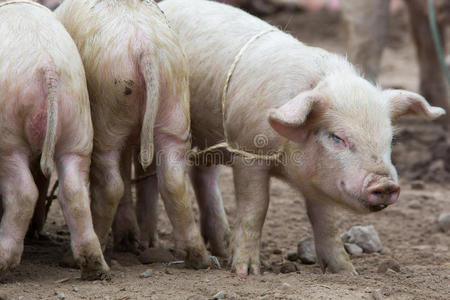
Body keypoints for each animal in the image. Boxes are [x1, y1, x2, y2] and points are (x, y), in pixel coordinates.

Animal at [0, 1, 108, 280]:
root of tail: (47, 67)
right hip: (79, 127)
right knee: (74, 191)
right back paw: (95, 268)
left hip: (8, 138)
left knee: (24, 192)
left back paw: (3, 264)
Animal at [55, 0, 211, 268]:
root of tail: (145, 48)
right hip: (175, 107)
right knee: (174, 180)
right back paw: (198, 258)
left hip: (108, 113)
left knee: (112, 184)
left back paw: (75, 257)